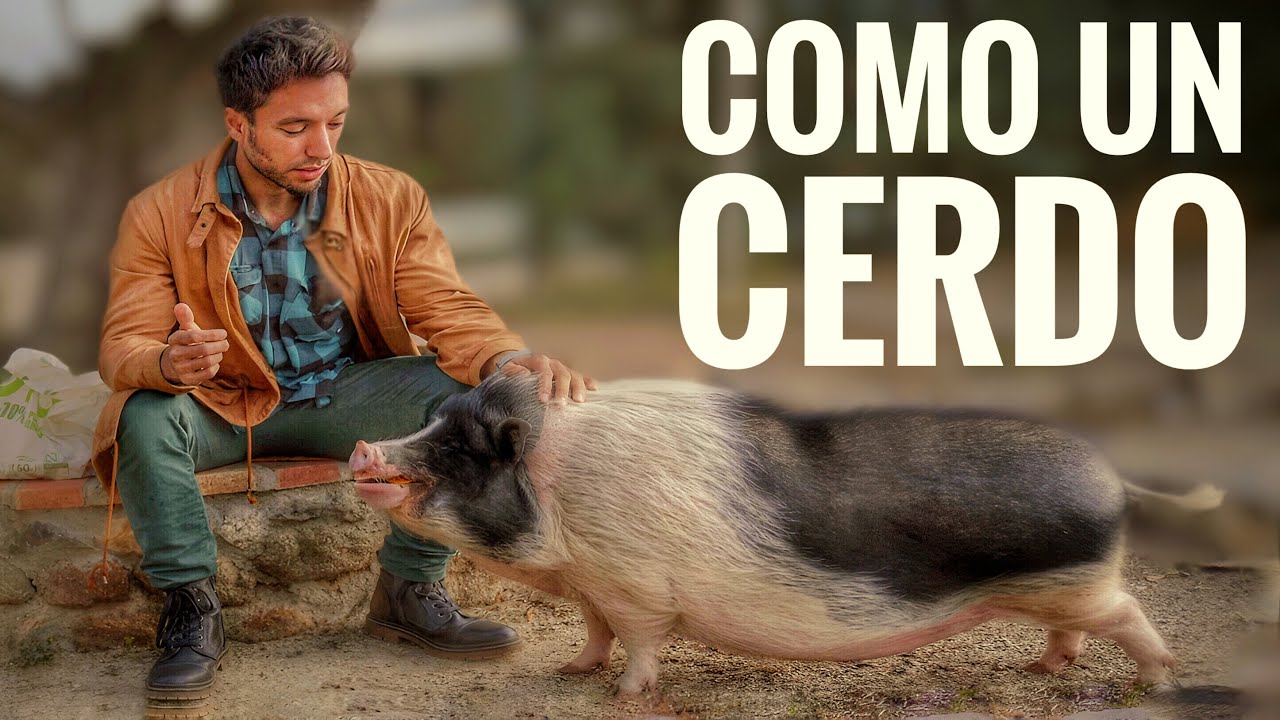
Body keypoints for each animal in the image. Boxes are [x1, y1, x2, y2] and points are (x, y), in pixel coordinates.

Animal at [350, 373, 1175, 695]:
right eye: (433, 422)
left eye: (461, 449)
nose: (363, 449)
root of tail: (1111, 479)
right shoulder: (595, 588)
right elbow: (595, 632)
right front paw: (571, 672)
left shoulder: (637, 586)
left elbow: (640, 643)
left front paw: (623, 694)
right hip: (1059, 595)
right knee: (1070, 632)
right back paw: (1044, 670)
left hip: (1082, 583)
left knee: (1131, 612)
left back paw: (1156, 680)